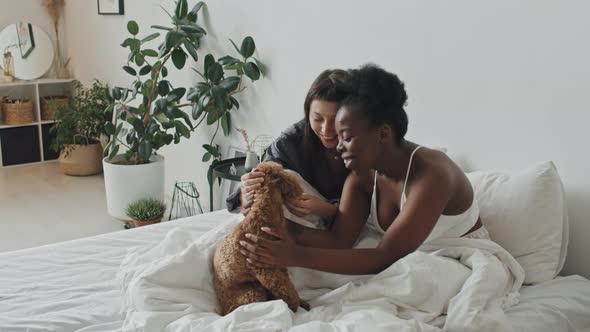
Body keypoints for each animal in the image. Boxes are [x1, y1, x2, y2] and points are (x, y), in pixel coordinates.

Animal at [215, 162, 312, 316]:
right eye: (282, 169)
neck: (263, 215)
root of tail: (223, 310)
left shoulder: (279, 263)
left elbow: (289, 285)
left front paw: (301, 302)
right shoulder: (267, 271)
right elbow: (285, 288)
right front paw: (294, 306)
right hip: (253, 293)